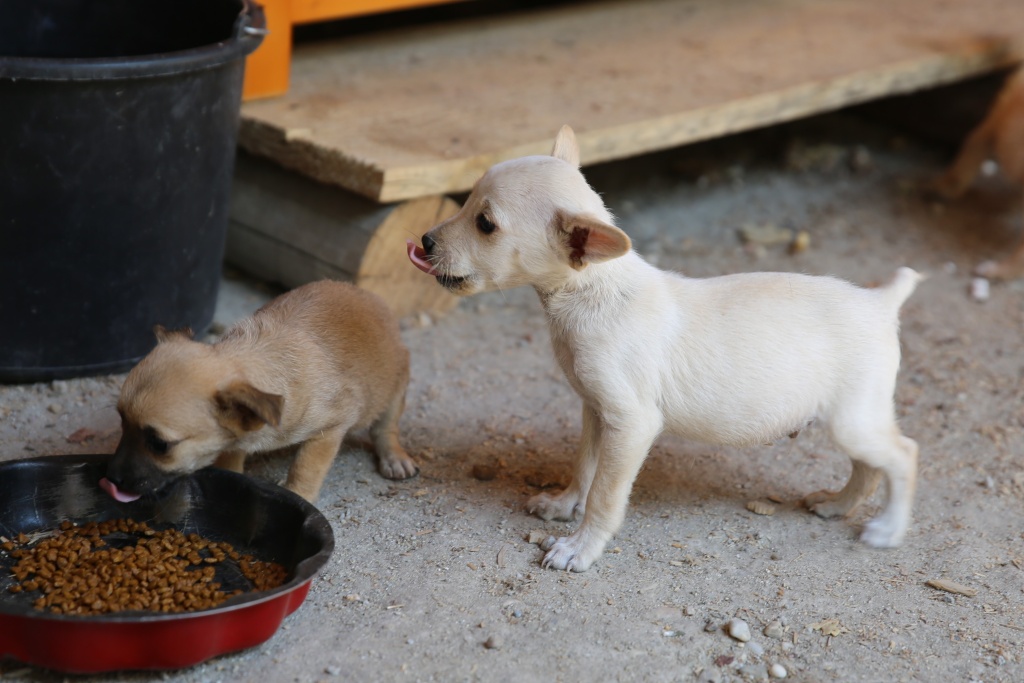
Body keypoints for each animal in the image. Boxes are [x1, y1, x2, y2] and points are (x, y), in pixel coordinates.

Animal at [98, 280, 411, 505]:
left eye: (159, 444)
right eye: (122, 422)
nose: (111, 477)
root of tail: (370, 296)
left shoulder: (330, 429)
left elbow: (306, 468)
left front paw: (298, 494)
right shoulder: (235, 439)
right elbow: (231, 460)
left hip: (396, 391)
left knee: (385, 428)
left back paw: (394, 457)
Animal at [405, 126, 921, 573]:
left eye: (485, 224)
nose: (424, 241)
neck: (594, 293)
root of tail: (880, 301)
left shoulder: (631, 424)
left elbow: (605, 495)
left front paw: (580, 547)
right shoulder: (596, 413)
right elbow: (584, 466)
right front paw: (564, 503)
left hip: (853, 420)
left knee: (903, 455)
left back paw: (888, 529)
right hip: (850, 422)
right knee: (869, 468)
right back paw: (837, 505)